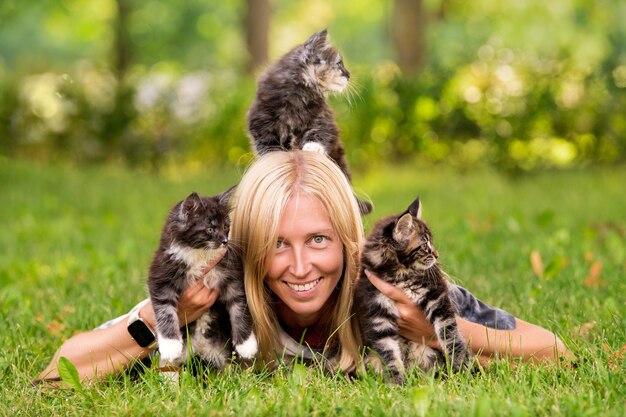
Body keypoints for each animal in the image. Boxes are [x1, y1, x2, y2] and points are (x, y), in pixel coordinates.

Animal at [146, 190, 256, 368]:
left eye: (226, 227)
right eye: (210, 229)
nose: (225, 241)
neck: (200, 254)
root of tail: (199, 347)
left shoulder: (232, 277)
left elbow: (239, 308)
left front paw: (246, 345)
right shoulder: (160, 277)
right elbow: (164, 309)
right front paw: (170, 345)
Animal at [245, 29, 370, 214]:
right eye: (339, 64)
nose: (348, 75)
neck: (298, 96)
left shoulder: (324, 119)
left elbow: (319, 133)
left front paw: (312, 147)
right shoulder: (261, 120)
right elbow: (267, 146)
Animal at [354, 197, 470, 382]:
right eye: (425, 245)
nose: (436, 255)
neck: (399, 275)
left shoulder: (436, 296)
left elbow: (448, 330)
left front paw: (458, 359)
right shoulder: (377, 311)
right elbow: (389, 352)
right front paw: (396, 381)